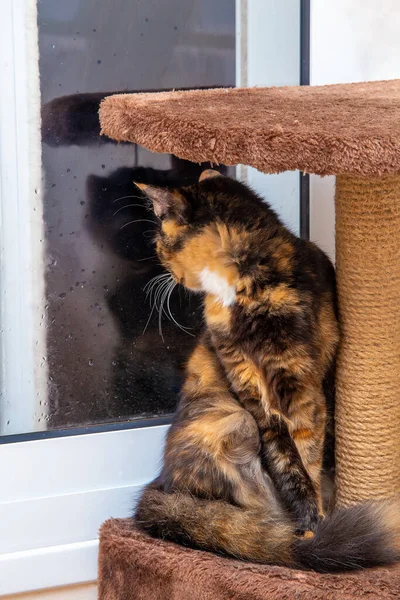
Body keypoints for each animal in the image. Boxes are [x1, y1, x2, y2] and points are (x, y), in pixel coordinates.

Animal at [135, 169, 400, 572]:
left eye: (160, 240)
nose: (161, 262)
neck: (243, 292)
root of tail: (160, 485)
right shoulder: (251, 391)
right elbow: (286, 462)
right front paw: (310, 527)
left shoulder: (301, 386)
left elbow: (306, 456)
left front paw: (315, 522)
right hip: (234, 421)